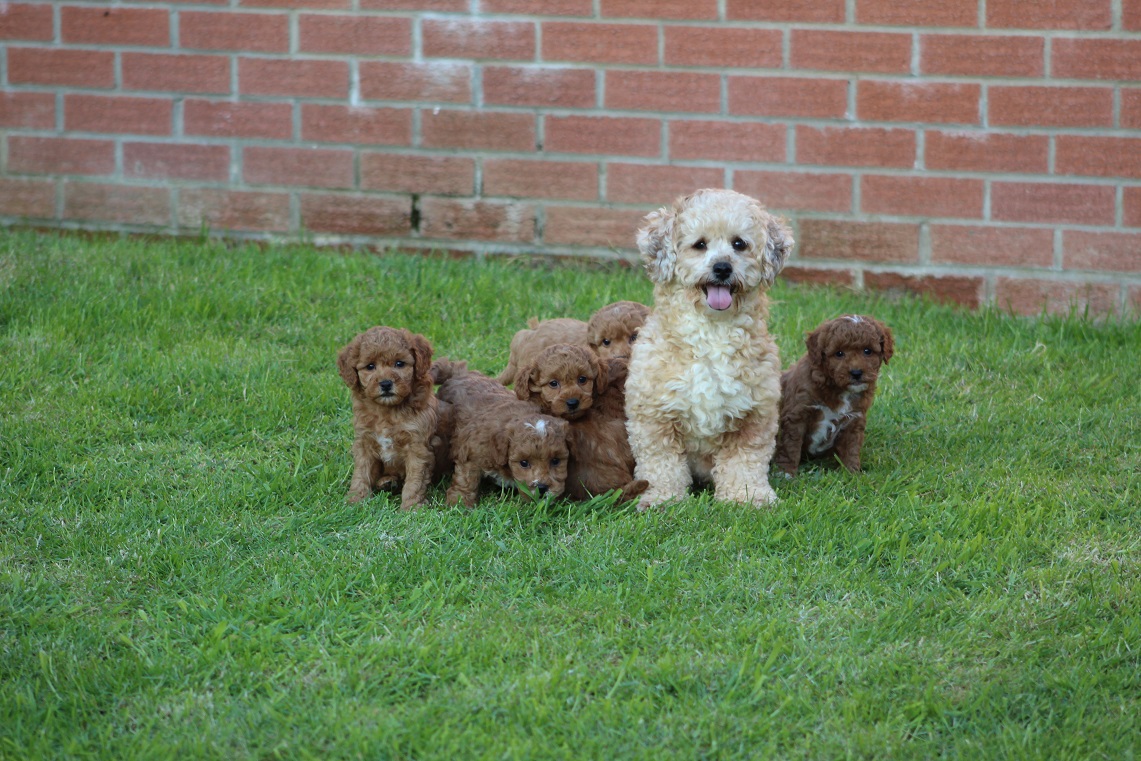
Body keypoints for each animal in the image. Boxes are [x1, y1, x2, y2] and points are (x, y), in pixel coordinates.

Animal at [335, 328, 447, 511]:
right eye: (370, 366)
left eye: (399, 364)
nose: (386, 384)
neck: (387, 411)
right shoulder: (364, 442)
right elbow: (361, 473)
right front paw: (355, 500)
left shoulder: (418, 445)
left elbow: (414, 480)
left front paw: (412, 507)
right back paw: (387, 481)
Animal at [431, 360, 570, 508]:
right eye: (524, 463)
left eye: (555, 461)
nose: (542, 488)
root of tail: (459, 372)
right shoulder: (470, 450)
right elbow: (466, 478)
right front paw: (459, 502)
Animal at [625, 188, 794, 511]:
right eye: (699, 244)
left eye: (739, 243)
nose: (722, 267)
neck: (712, 333)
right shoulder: (653, 416)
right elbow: (660, 462)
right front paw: (661, 497)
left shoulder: (754, 415)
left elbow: (745, 461)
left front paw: (747, 496)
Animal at [771, 314, 894, 476]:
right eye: (839, 353)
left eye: (867, 351)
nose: (856, 373)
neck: (837, 387)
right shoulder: (796, 415)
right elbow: (790, 445)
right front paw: (785, 472)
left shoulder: (854, 419)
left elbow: (851, 448)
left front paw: (851, 472)